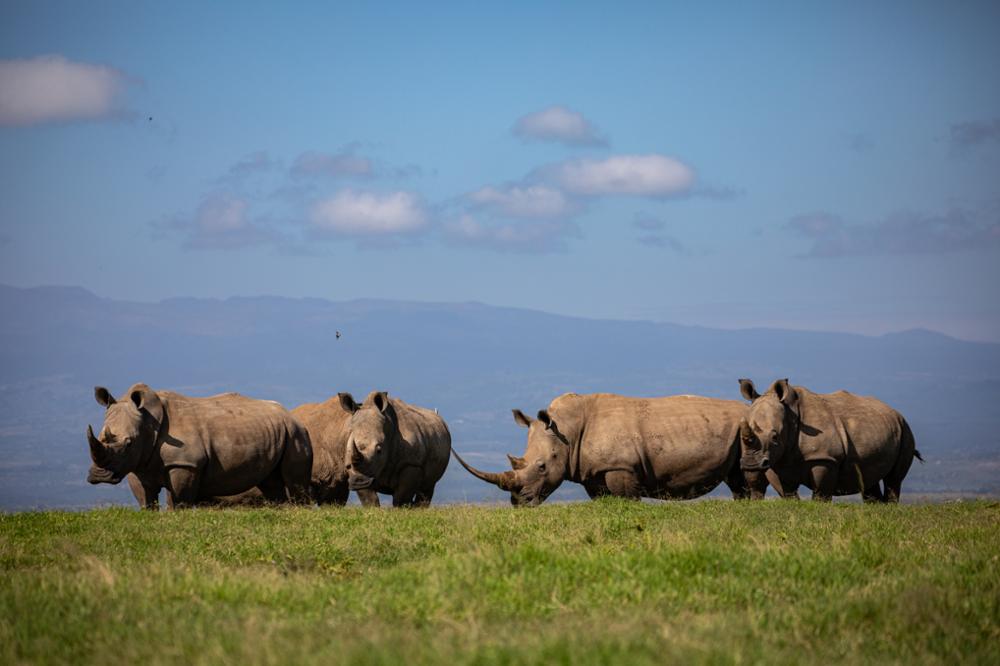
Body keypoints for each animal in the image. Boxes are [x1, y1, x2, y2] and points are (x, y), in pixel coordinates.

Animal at [86, 382, 312, 506]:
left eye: (128, 443)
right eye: (101, 436)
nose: (99, 476)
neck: (148, 423)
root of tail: (291, 415)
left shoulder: (185, 463)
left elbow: (178, 502)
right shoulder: (138, 463)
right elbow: (146, 500)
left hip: (295, 433)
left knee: (295, 484)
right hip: (276, 431)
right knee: (271, 484)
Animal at [454, 390, 752, 504]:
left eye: (541, 466)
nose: (519, 502)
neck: (567, 431)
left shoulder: (622, 467)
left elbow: (627, 499)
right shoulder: (594, 472)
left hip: (747, 428)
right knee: (735, 479)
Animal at [736, 376, 920, 500]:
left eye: (775, 437)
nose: (750, 464)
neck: (790, 414)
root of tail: (896, 412)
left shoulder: (825, 458)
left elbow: (821, 493)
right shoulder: (777, 461)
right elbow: (787, 493)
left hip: (905, 430)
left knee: (894, 480)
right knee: (870, 479)